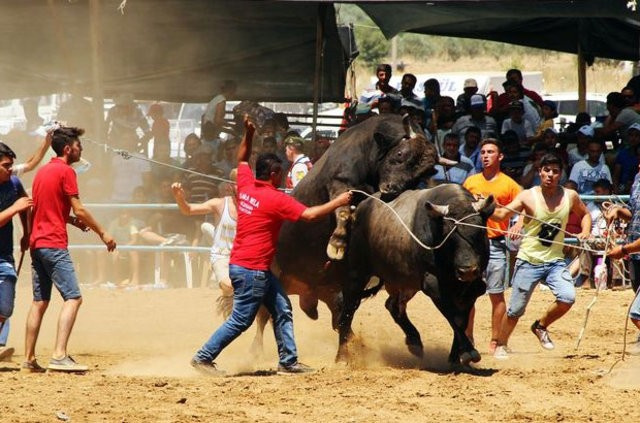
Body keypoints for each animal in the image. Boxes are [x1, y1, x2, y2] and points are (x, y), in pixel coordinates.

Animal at [340, 186, 496, 368]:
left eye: (480, 232)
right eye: (449, 236)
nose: (467, 270)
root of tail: (360, 208)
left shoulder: (473, 288)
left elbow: (461, 319)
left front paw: (455, 357)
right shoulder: (433, 285)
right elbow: (452, 315)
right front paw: (467, 351)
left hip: (405, 282)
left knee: (393, 306)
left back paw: (414, 341)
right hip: (357, 273)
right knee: (347, 310)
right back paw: (342, 356)